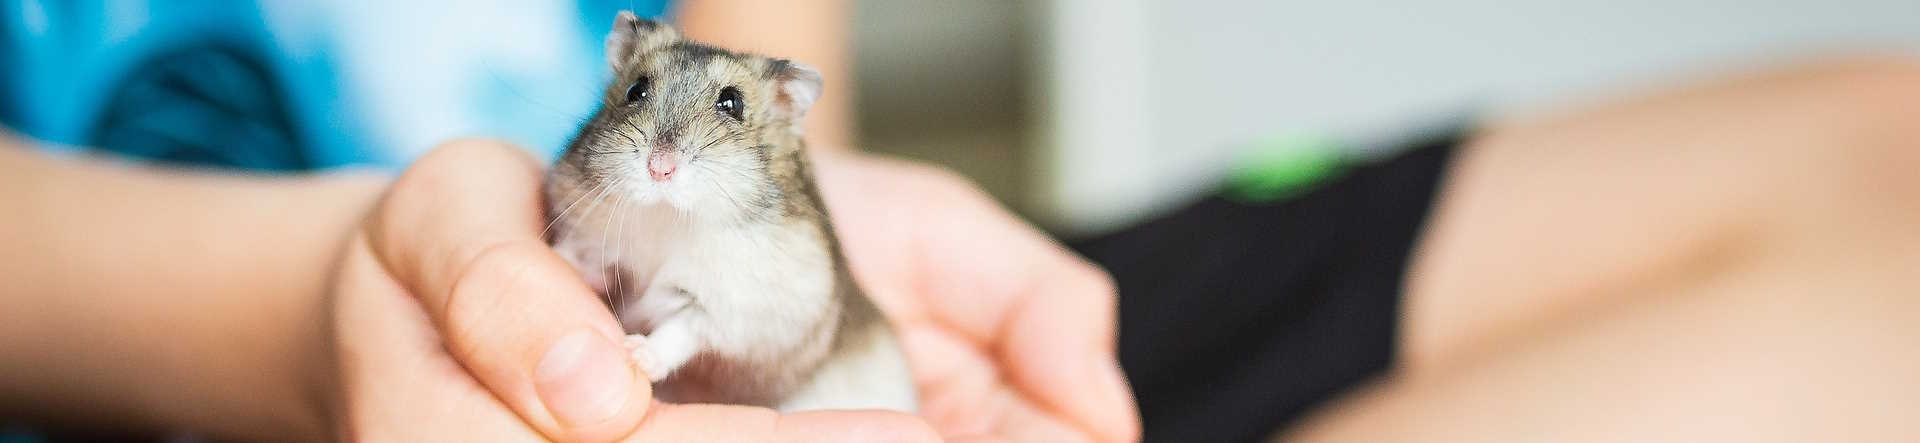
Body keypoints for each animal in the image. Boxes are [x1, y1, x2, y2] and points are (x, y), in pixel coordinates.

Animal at [542, 11, 916, 412]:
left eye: (732, 104)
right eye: (635, 90)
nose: (659, 169)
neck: (667, 215)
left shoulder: (731, 306)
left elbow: (683, 330)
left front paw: (635, 355)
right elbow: (594, 263)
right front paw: (557, 256)